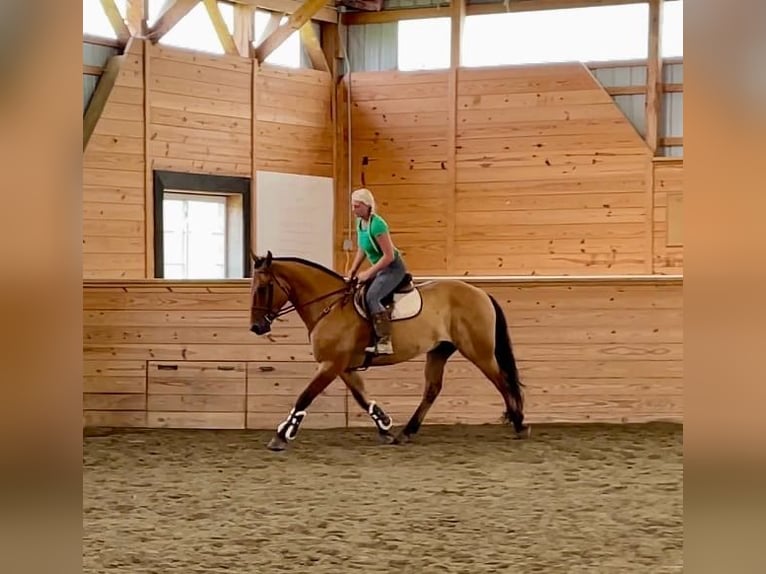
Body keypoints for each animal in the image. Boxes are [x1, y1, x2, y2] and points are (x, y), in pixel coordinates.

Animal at [249, 254, 532, 452]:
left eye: (263, 288)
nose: (256, 327)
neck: (330, 305)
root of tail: (481, 292)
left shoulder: (331, 364)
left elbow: (304, 397)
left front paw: (281, 435)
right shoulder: (344, 366)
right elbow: (362, 398)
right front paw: (384, 425)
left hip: (478, 351)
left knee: (502, 381)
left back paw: (520, 425)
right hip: (439, 351)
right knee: (432, 389)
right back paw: (407, 432)